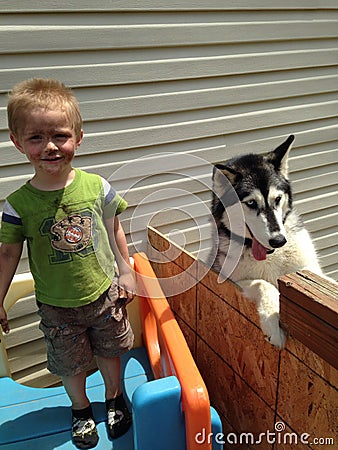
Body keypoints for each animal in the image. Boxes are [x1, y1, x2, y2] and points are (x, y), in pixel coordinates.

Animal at [210, 135, 324, 350]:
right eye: (251, 203)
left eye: (277, 199)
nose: (278, 241)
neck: (271, 256)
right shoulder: (231, 280)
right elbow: (264, 284)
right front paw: (272, 324)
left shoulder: (309, 270)